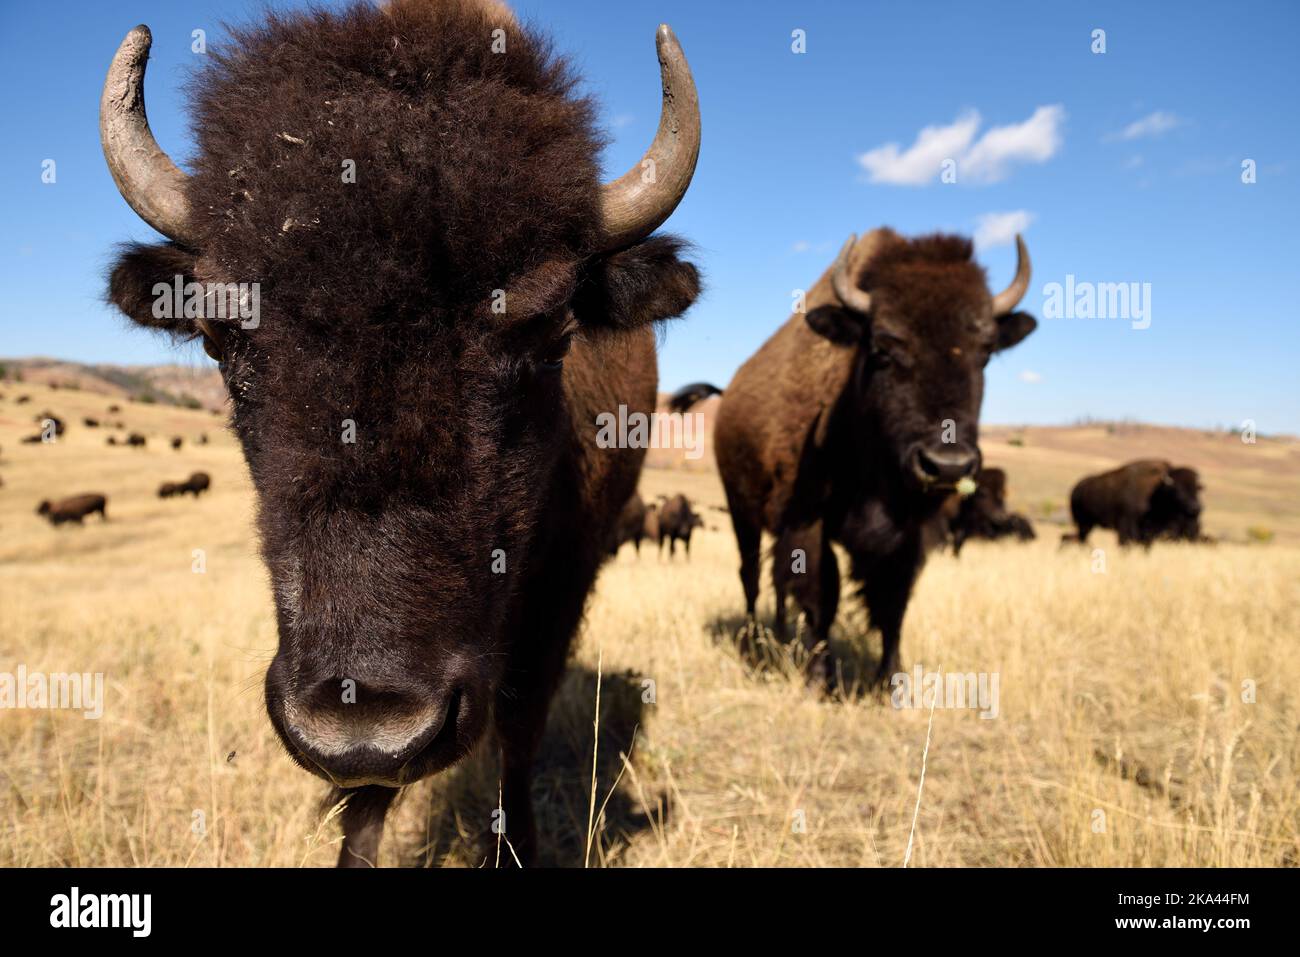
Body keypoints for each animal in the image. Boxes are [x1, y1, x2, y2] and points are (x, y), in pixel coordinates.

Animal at [101, 0, 701, 866]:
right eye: (220, 340)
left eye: (551, 336)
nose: (367, 731)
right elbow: (363, 802)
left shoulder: (566, 575)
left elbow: (519, 722)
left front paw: (515, 845)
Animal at [701, 229, 1037, 688]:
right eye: (882, 348)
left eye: (985, 352)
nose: (946, 464)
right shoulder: (809, 521)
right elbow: (823, 594)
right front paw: (818, 678)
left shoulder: (911, 535)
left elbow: (893, 604)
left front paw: (890, 683)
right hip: (741, 510)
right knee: (751, 575)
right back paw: (755, 640)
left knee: (775, 582)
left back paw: (781, 633)